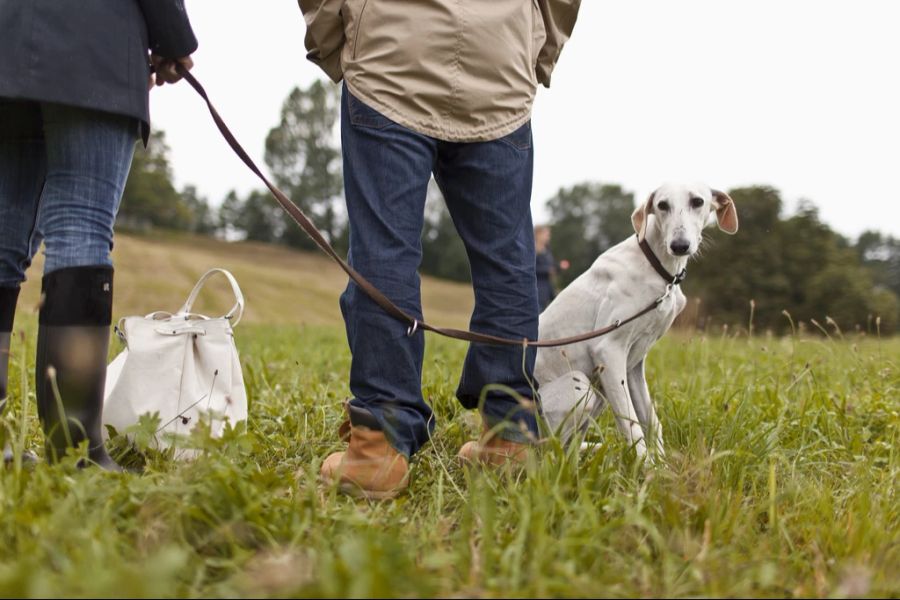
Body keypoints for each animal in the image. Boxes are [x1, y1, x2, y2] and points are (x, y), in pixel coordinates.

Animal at [536, 183, 740, 460]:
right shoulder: (608, 352)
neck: (657, 268)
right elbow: (632, 426)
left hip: (598, 395)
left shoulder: (633, 363)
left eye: (698, 201)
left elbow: (651, 420)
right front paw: (648, 467)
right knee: (552, 453)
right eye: (662, 205)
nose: (679, 245)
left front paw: (663, 465)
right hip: (579, 387)